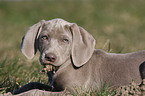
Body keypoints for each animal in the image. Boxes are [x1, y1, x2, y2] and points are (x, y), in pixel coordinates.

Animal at [13, 18, 144, 94]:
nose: (50, 57)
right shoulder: (54, 87)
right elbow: (33, 84)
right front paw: (14, 91)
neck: (65, 65)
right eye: (44, 37)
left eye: (65, 40)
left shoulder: (73, 91)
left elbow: (38, 91)